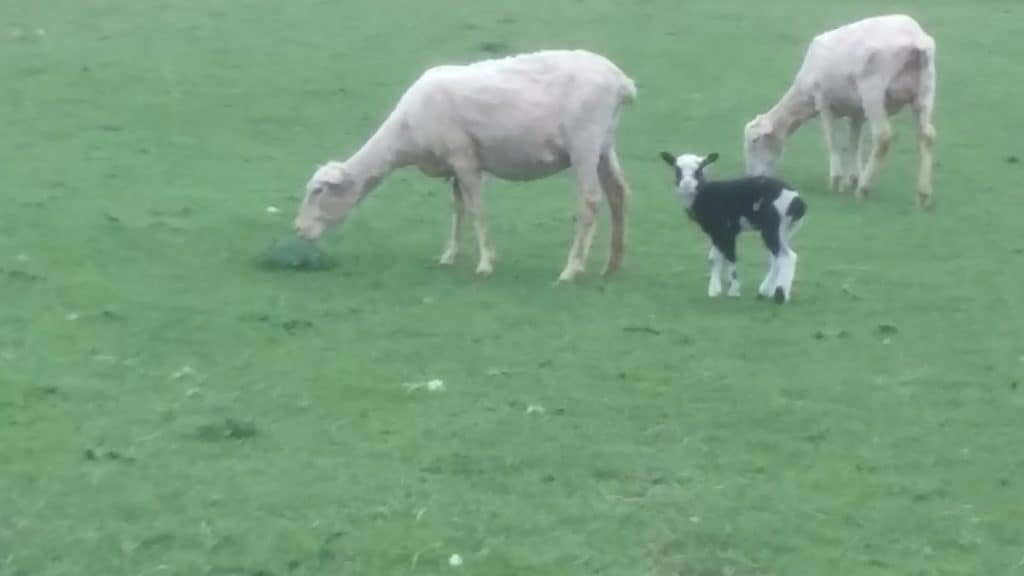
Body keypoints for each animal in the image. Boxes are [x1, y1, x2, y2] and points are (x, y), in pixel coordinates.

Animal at [292, 49, 634, 280]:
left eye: (318, 192)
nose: (297, 229)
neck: (404, 137)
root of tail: (621, 81)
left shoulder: (466, 159)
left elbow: (477, 209)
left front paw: (485, 264)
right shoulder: (452, 166)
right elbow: (458, 209)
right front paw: (450, 256)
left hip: (584, 143)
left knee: (590, 201)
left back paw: (571, 269)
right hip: (605, 144)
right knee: (618, 194)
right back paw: (611, 265)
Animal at [663, 152, 806, 305]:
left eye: (699, 169)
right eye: (677, 169)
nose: (687, 185)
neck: (704, 195)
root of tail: (798, 202)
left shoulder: (722, 228)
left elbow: (727, 256)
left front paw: (730, 291)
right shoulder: (728, 231)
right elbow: (716, 257)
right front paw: (718, 289)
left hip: (772, 226)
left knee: (787, 256)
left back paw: (780, 296)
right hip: (785, 229)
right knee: (776, 257)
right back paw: (765, 291)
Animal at [745, 13, 937, 207]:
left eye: (754, 141)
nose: (752, 178)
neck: (803, 98)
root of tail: (915, 38)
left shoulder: (823, 101)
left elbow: (831, 139)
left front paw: (837, 181)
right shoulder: (857, 112)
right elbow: (854, 142)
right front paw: (853, 178)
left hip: (873, 90)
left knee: (883, 137)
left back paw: (864, 189)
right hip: (925, 90)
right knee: (927, 136)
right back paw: (924, 195)